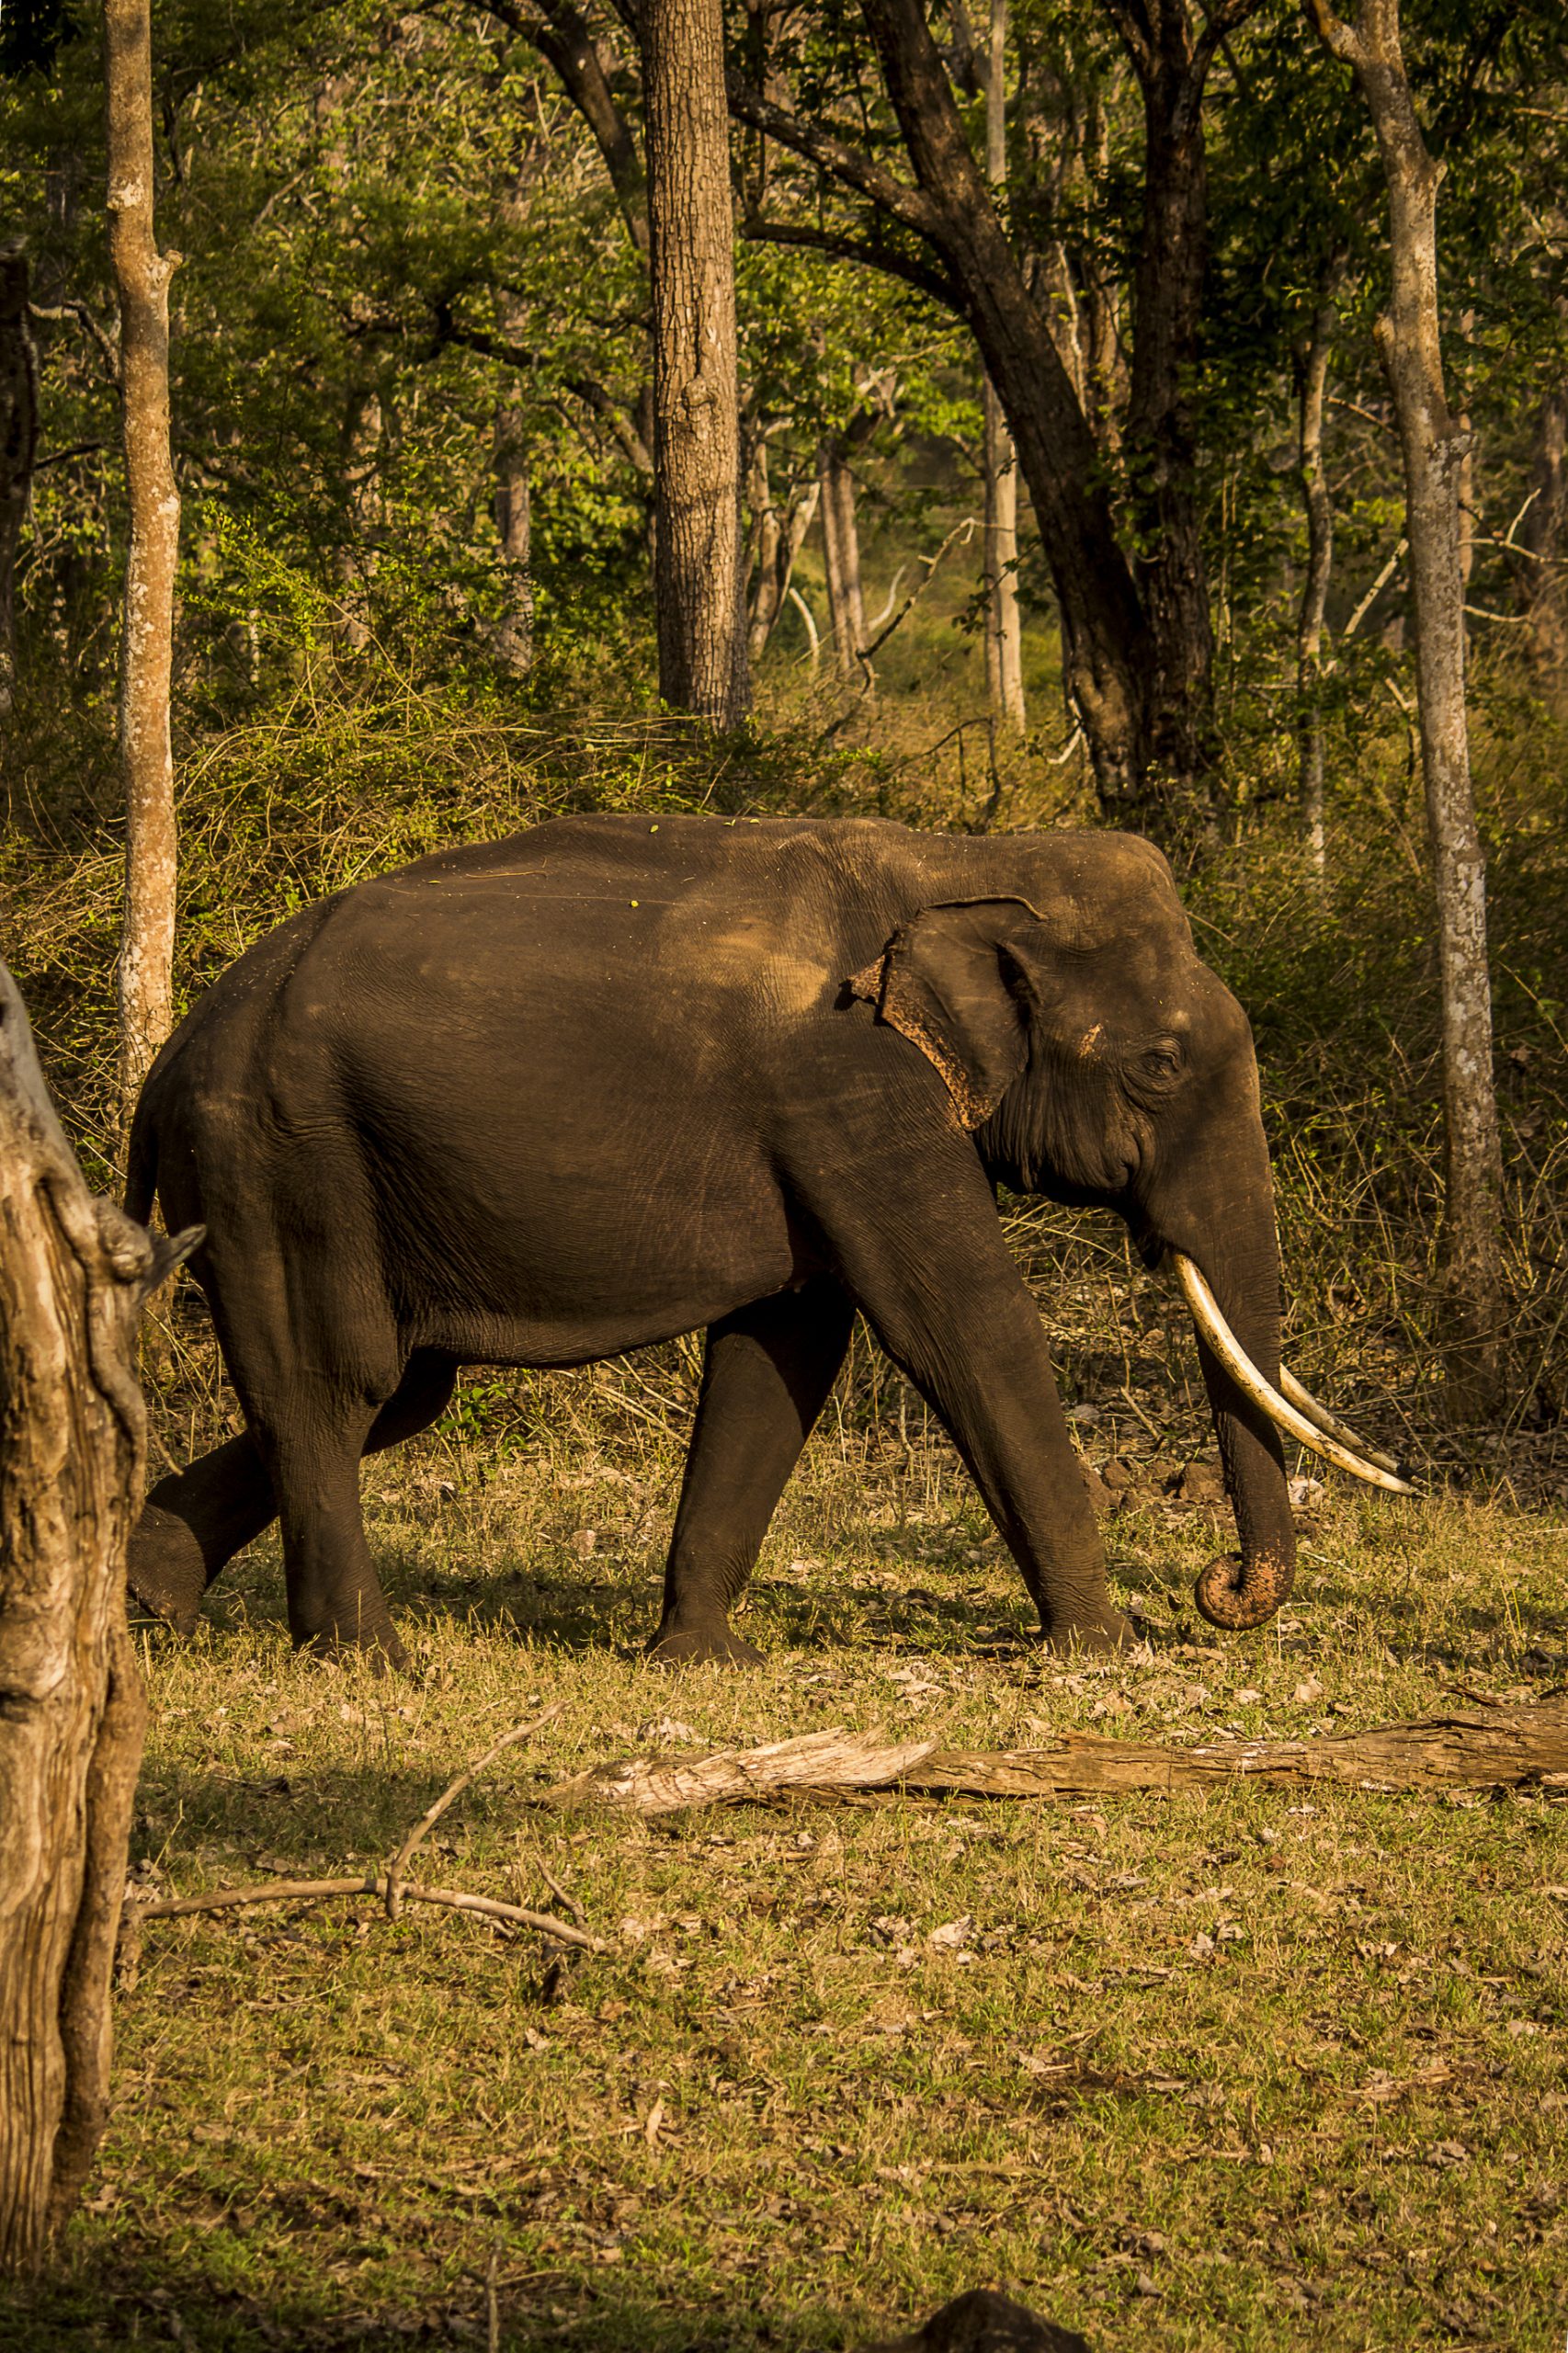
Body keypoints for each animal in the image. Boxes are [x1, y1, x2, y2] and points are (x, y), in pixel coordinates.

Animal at [119, 809, 1393, 1675]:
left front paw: (695, 1658)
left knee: (394, 1393)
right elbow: (959, 1324)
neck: (959, 861)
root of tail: (168, 1057)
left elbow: (786, 1348)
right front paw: (1101, 1644)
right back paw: (365, 1656)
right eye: (1159, 1065)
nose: (1216, 1586)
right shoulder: (850, 1082)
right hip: (281, 1157)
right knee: (340, 1384)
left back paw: (148, 1597)